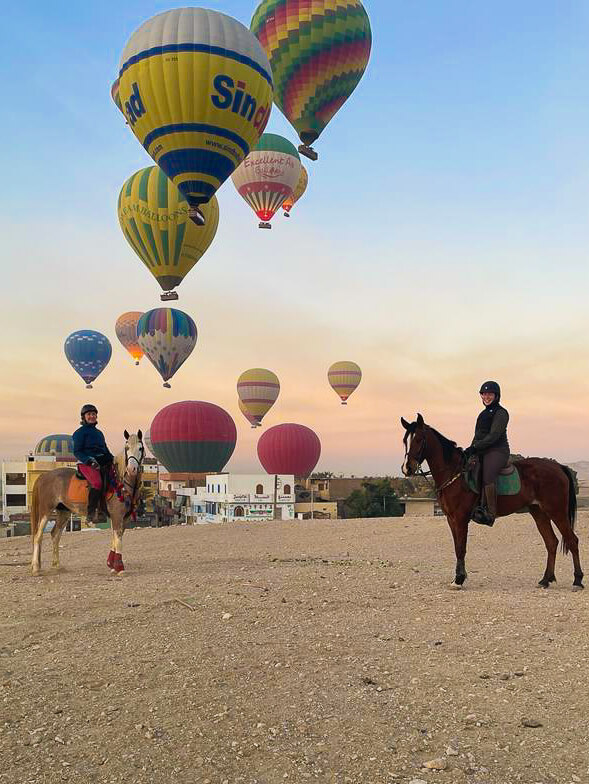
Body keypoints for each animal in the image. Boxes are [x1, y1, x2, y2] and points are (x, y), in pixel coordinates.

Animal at [29, 428, 144, 576]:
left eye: (140, 448)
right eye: (127, 448)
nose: (132, 469)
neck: (120, 481)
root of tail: (44, 475)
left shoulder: (125, 518)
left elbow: (116, 537)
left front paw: (112, 565)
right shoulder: (117, 515)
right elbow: (118, 538)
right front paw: (119, 567)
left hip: (63, 512)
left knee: (55, 535)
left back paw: (57, 565)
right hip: (46, 511)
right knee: (38, 535)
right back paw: (36, 568)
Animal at [402, 416, 580, 588]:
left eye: (418, 439)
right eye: (405, 441)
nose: (407, 468)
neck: (455, 473)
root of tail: (558, 467)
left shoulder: (460, 519)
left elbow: (461, 548)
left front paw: (459, 580)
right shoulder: (451, 519)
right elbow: (457, 547)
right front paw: (458, 578)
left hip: (556, 511)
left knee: (572, 540)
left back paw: (577, 580)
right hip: (539, 512)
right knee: (551, 542)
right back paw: (545, 580)